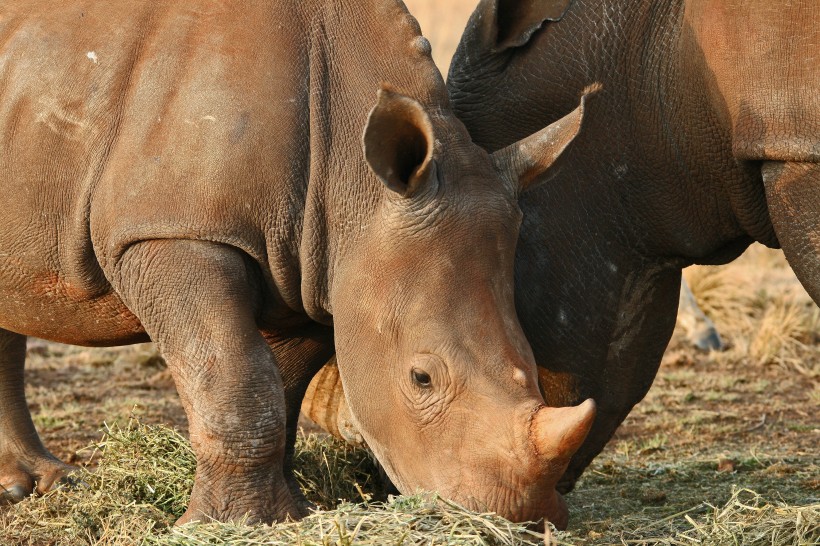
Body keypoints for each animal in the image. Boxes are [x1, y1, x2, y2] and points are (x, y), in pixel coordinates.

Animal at [0, 0, 604, 528]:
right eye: (421, 378)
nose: (519, 515)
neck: (352, 180)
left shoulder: (316, 270)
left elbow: (280, 387)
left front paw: (287, 512)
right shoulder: (170, 231)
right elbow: (235, 375)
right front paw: (230, 523)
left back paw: (31, 485)